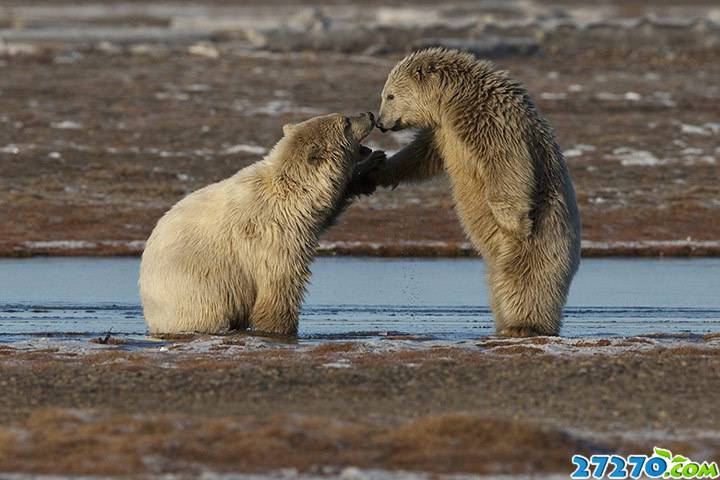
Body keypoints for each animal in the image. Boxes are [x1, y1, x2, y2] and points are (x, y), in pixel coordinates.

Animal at [137, 113, 380, 338]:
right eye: (346, 121)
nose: (369, 115)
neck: (289, 191)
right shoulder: (274, 234)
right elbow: (278, 286)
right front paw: (281, 330)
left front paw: (373, 167)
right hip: (199, 294)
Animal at [374, 47, 584, 336]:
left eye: (390, 95)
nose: (380, 123)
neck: (453, 99)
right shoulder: (443, 131)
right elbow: (423, 155)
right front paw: (380, 167)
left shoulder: (488, 118)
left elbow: (507, 164)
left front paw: (515, 223)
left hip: (545, 239)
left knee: (525, 280)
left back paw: (524, 325)